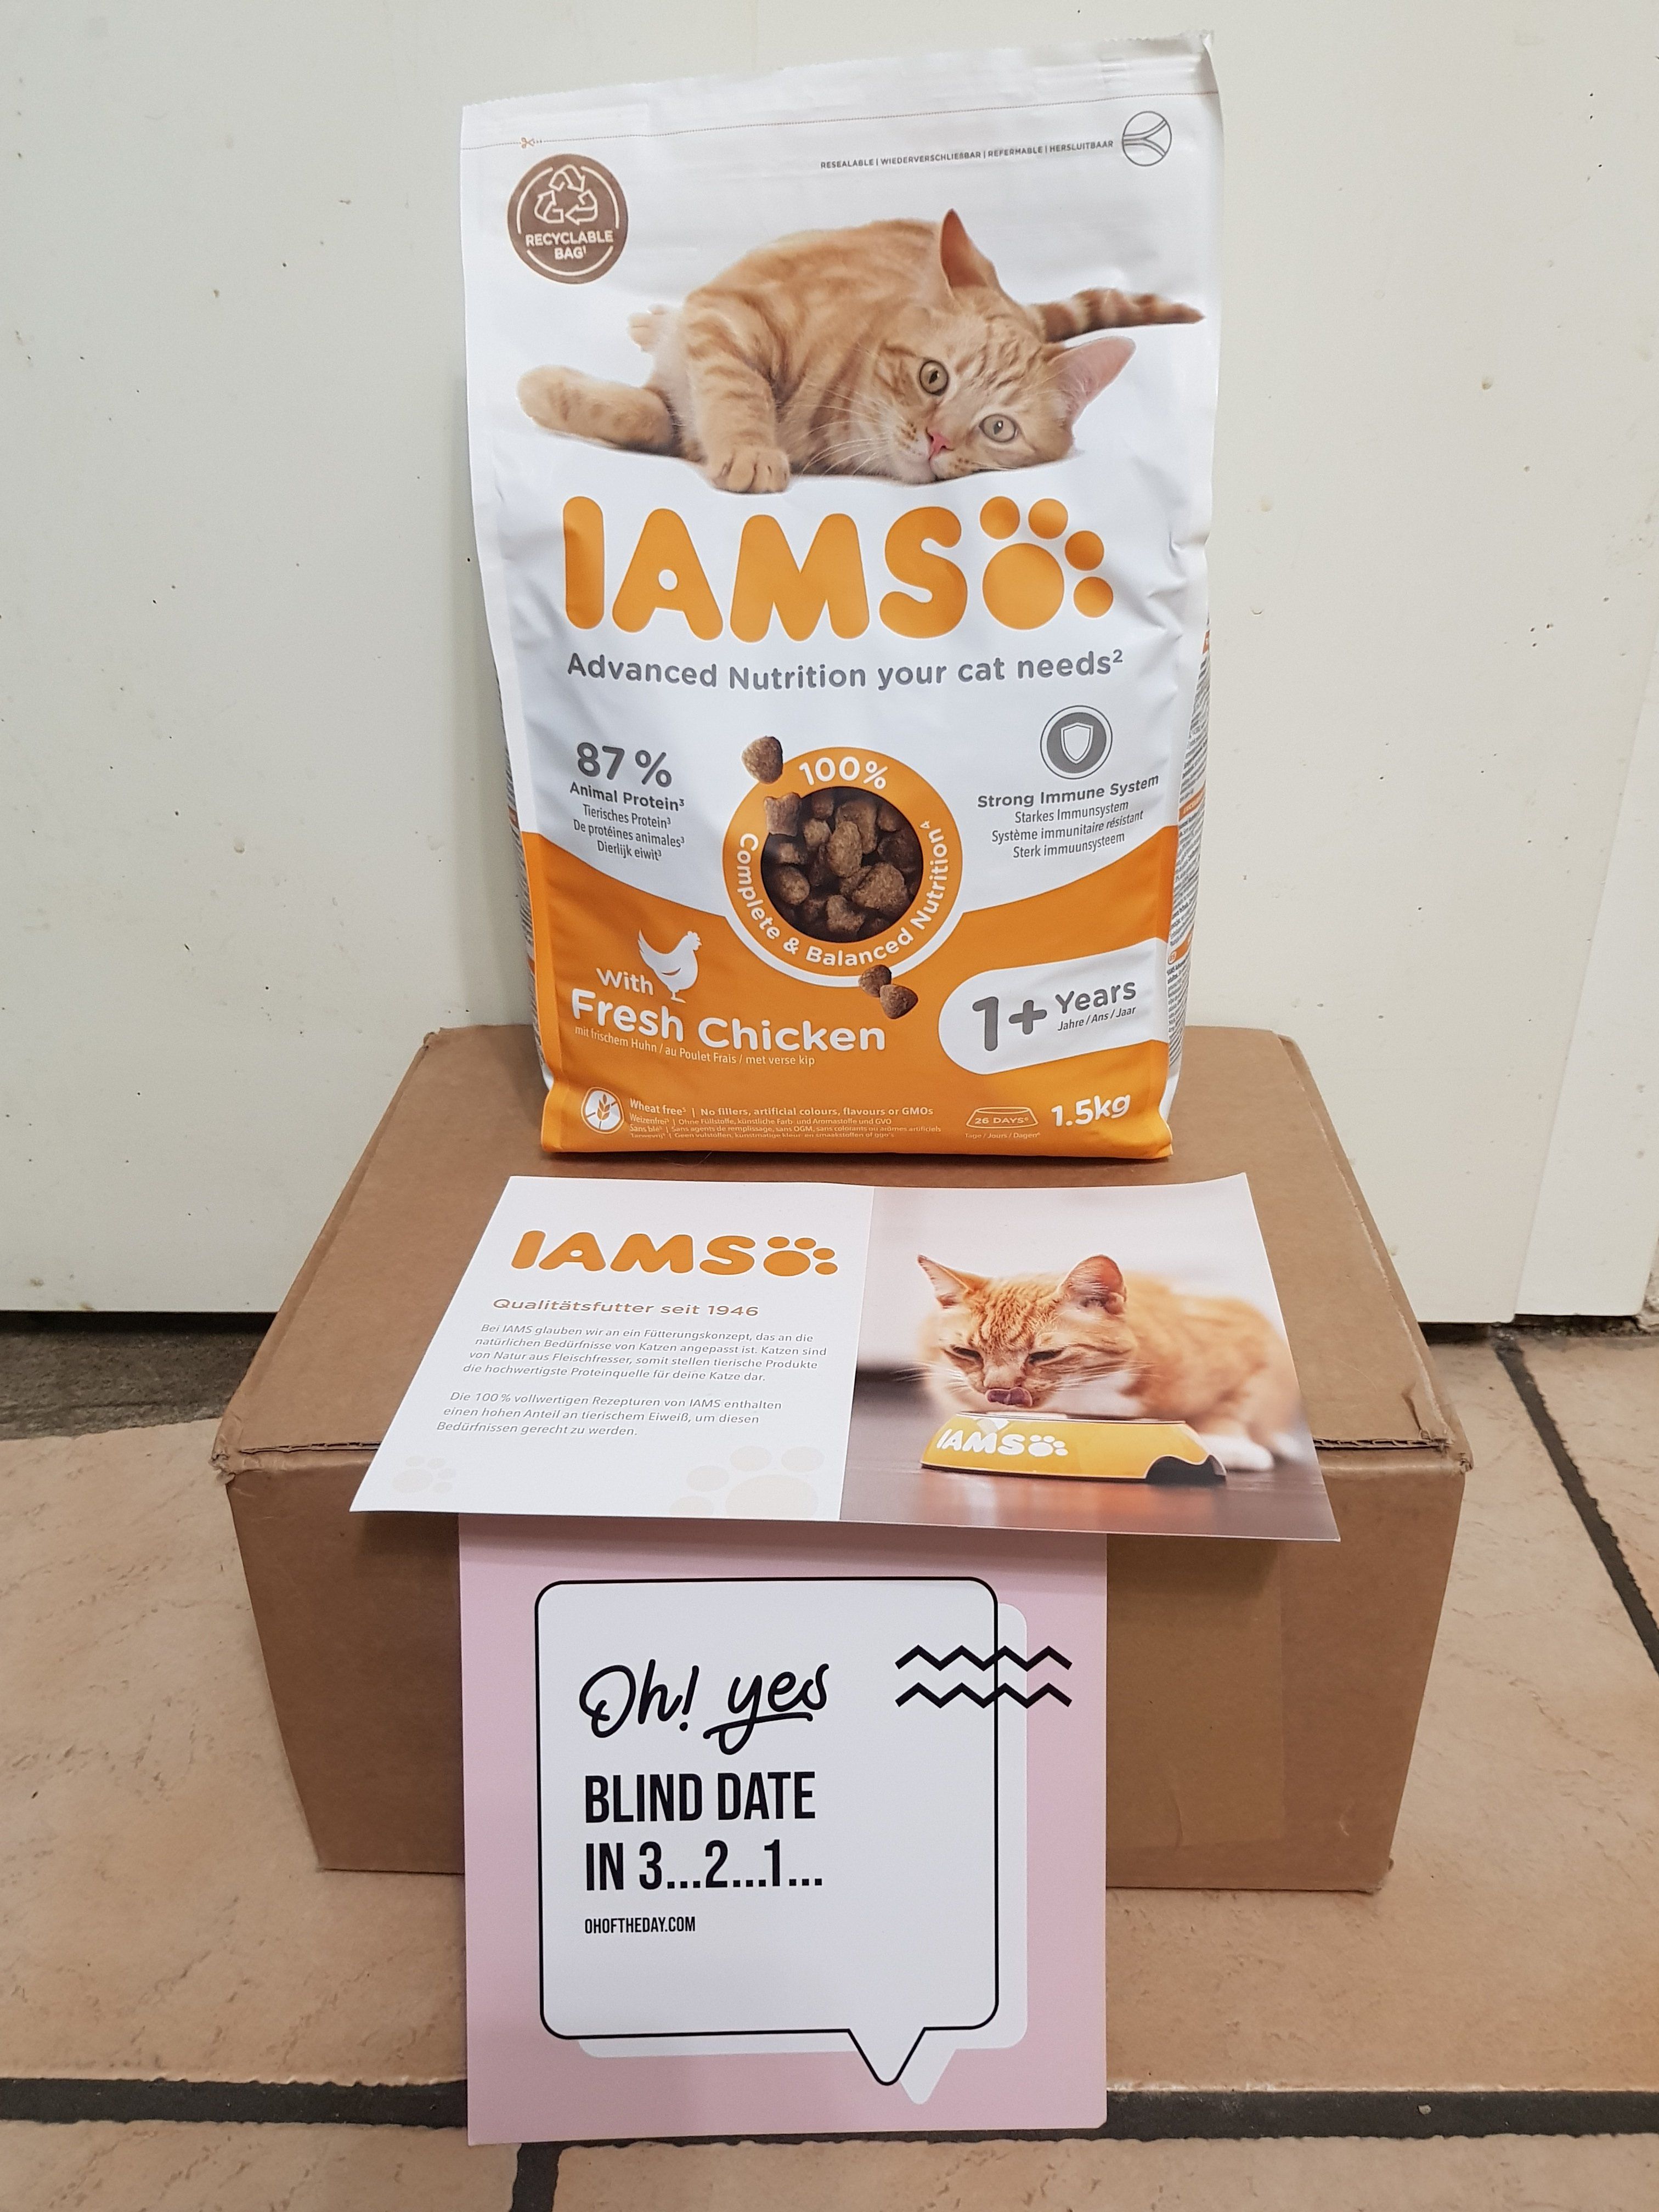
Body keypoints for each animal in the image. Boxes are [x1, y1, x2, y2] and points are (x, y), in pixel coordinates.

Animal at [518, 210, 1199, 493]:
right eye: (933, 378)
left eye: (998, 429)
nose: (938, 441)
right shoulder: (729, 313)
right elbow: (723, 391)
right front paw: (750, 447)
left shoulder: (687, 398)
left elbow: (651, 415)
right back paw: (651, 318)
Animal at [916, 1251, 1300, 1474]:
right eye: (967, 1353)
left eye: (1044, 1355)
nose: (997, 1389)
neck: (1089, 1393)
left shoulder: (1250, 1339)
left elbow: (1230, 1405)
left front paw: (1230, 1443)